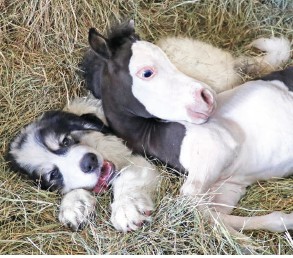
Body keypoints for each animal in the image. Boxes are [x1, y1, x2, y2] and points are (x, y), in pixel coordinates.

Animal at [6, 98, 159, 233]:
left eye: (66, 141)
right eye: (54, 174)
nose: (90, 161)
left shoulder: (133, 158)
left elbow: (127, 176)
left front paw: (126, 209)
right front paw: (74, 206)